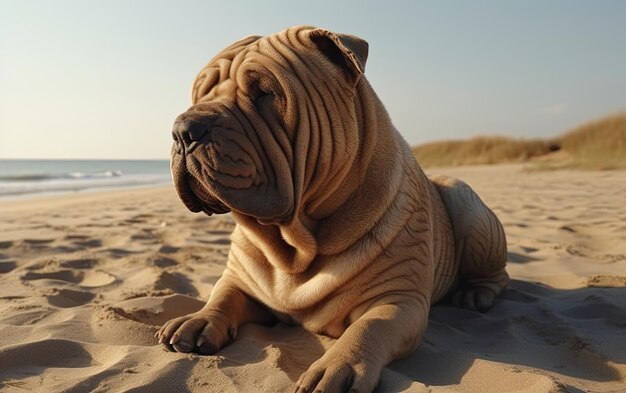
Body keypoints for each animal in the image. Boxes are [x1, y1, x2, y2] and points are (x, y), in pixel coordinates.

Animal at [157, 26, 508, 390]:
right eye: (198, 96)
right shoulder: (240, 279)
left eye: (265, 93)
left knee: (498, 275)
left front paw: (338, 367)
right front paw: (198, 319)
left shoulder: (399, 299)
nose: (183, 130)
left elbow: (368, 327)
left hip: (468, 209)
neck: (294, 245)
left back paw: (474, 295)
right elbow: (222, 295)